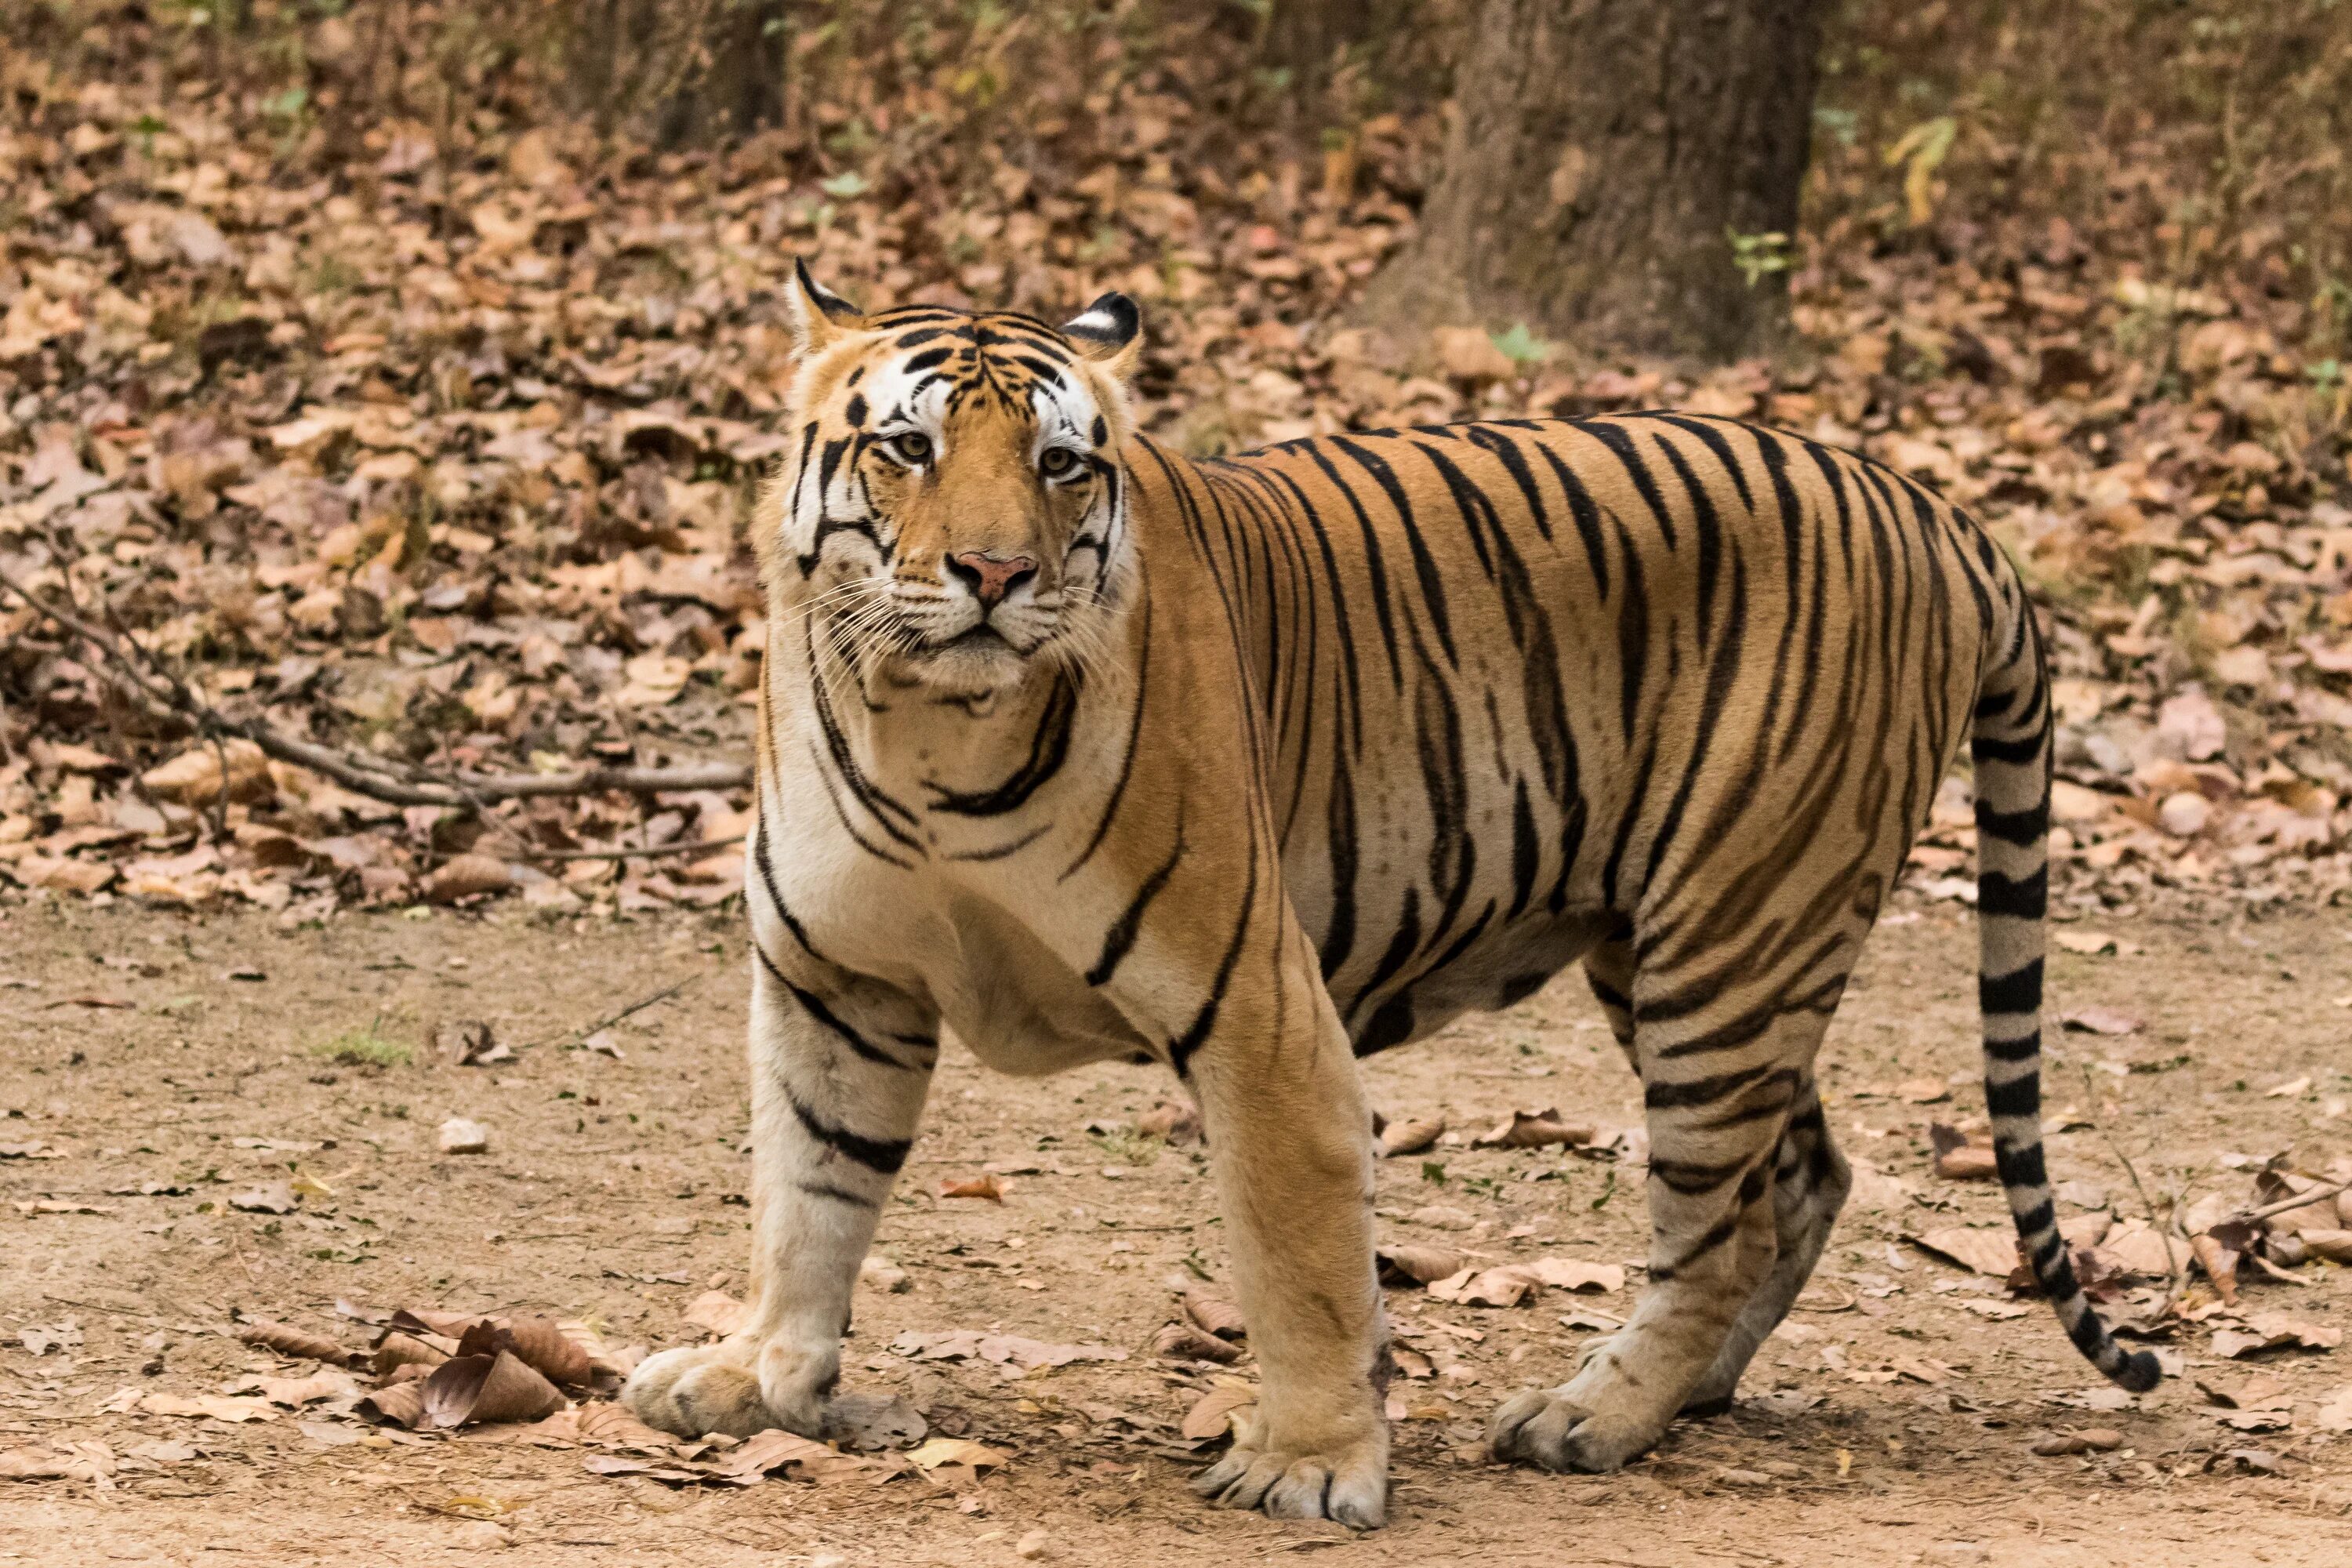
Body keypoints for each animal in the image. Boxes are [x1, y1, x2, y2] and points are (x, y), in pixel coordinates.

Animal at [621, 263, 2154, 1523]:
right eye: (908, 448)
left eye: (1059, 464)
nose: (996, 575)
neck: (927, 730)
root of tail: (1935, 509)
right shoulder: (837, 982)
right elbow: (808, 1195)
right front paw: (760, 1380)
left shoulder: (1258, 1007)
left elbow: (1297, 1252)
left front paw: (1308, 1465)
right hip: (1678, 949)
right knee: (1804, 1177)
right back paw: (1690, 1393)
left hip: (1734, 937)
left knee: (1718, 1223)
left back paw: (1594, 1416)